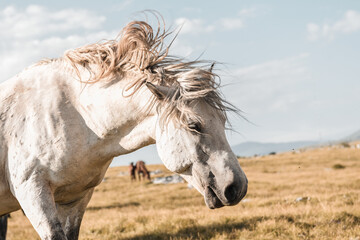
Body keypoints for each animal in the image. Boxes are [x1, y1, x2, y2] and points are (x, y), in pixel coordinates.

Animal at [0, 16, 248, 240]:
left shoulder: (75, 199)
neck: (75, 115)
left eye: (223, 122)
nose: (237, 187)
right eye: (193, 125)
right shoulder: (34, 192)